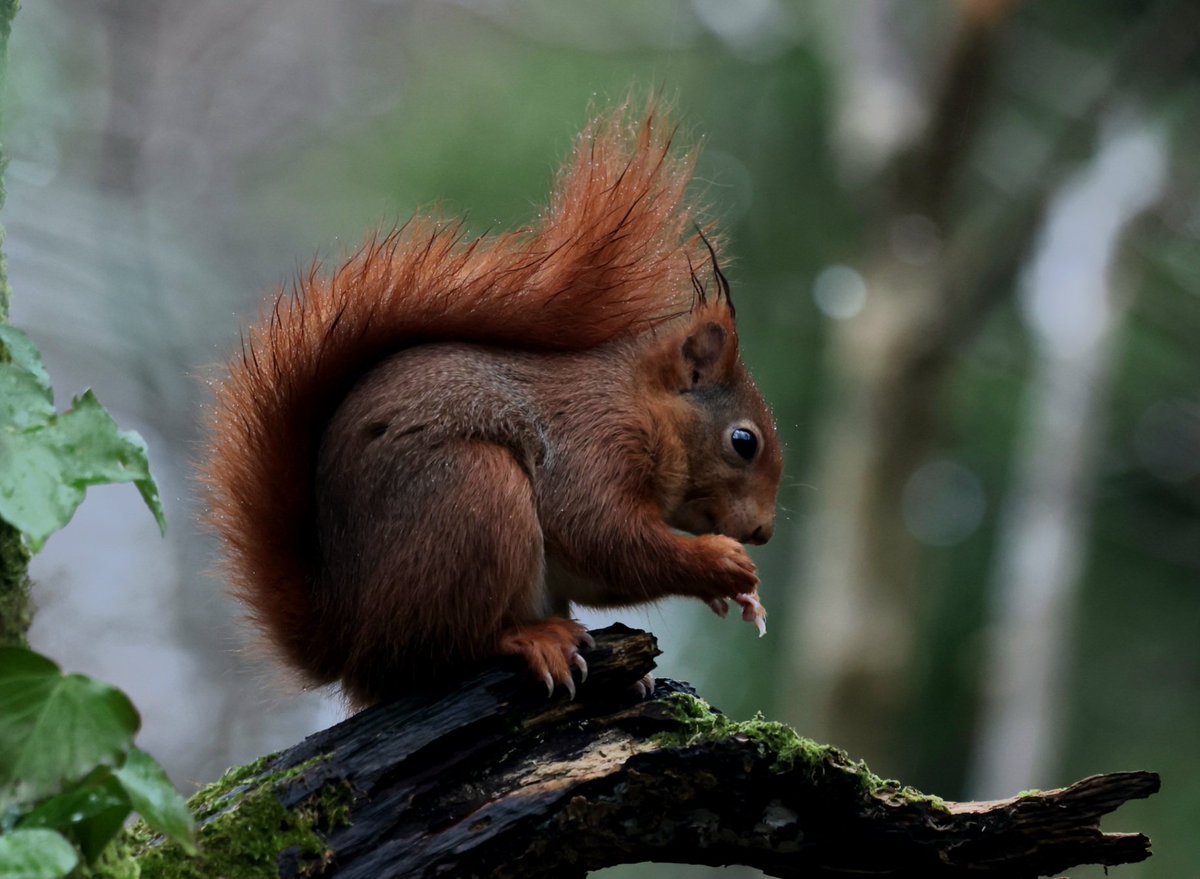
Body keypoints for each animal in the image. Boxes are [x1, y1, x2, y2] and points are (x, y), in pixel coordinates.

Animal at [201, 105, 783, 708]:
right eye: (743, 442)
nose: (764, 532)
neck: (640, 405)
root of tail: (346, 642)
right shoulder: (592, 443)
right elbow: (603, 535)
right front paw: (721, 564)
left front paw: (737, 599)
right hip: (476, 496)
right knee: (440, 650)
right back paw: (533, 639)